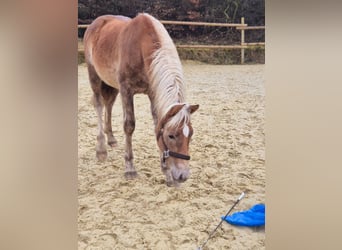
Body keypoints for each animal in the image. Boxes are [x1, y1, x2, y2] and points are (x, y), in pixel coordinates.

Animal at [83, 13, 199, 186]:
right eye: (171, 135)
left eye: (190, 134)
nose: (182, 175)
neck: (141, 48)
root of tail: (96, 23)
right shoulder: (126, 90)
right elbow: (129, 126)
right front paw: (129, 168)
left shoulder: (152, 92)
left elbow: (157, 125)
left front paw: (166, 172)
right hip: (94, 77)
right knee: (99, 106)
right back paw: (101, 149)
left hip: (111, 84)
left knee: (108, 105)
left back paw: (111, 139)